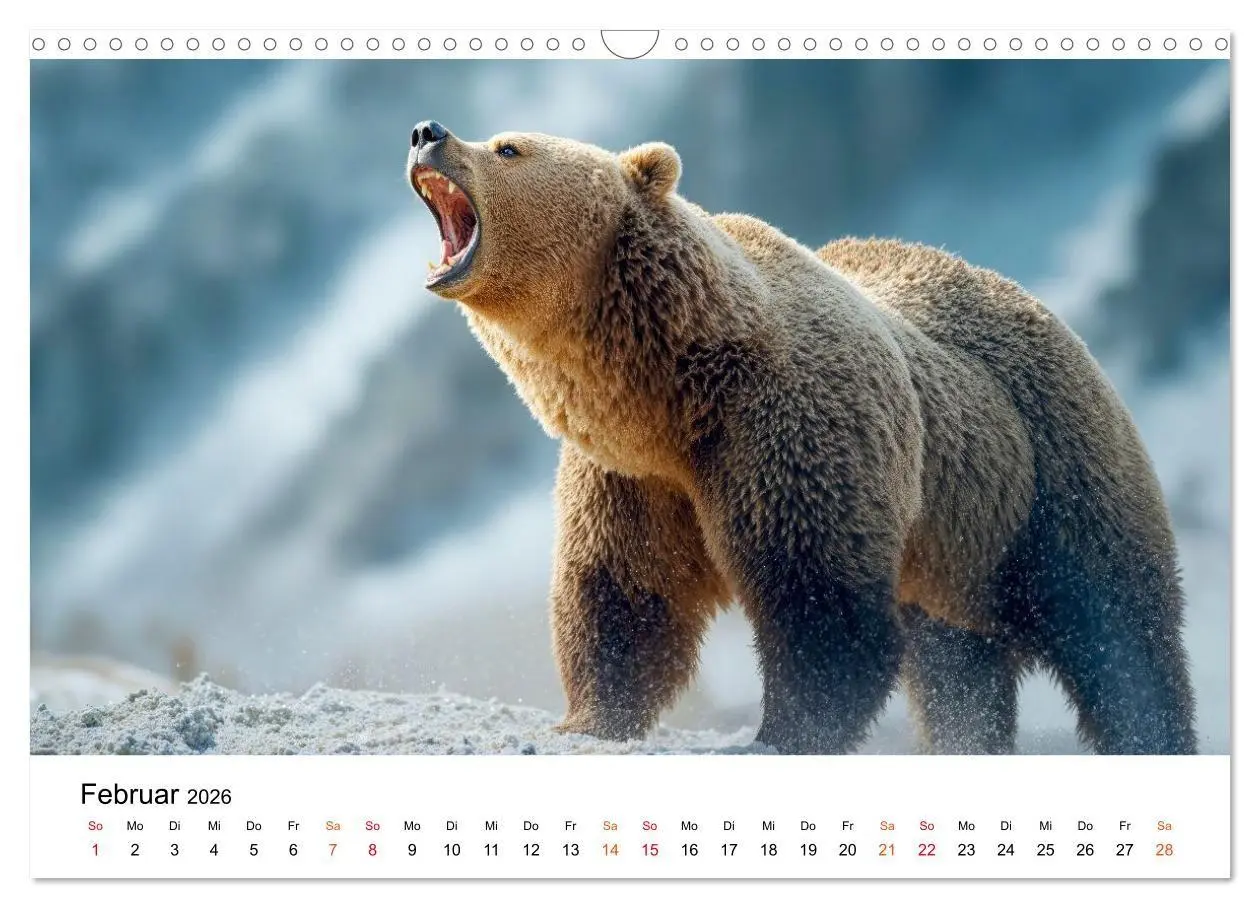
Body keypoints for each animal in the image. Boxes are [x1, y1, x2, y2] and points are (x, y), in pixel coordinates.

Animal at [405, 119, 1198, 755]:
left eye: (508, 146)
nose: (426, 131)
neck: (672, 390)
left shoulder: (791, 428)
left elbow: (815, 596)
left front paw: (781, 732)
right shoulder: (632, 477)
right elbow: (625, 593)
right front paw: (589, 718)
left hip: (1050, 475)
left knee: (1122, 637)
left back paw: (1152, 732)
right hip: (952, 551)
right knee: (957, 672)